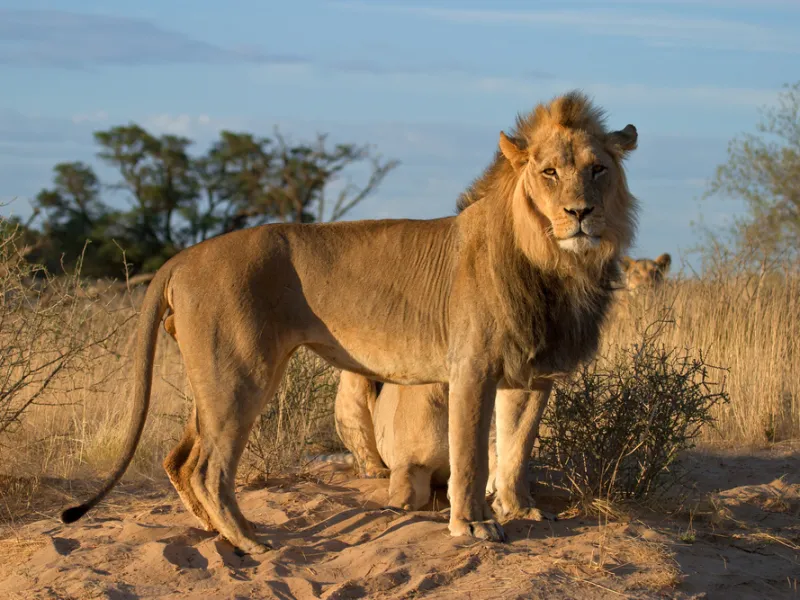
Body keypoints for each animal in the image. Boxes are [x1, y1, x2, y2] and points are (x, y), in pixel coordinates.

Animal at [61, 91, 639, 554]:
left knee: (178, 460)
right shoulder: (472, 367)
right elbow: (473, 457)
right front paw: (473, 526)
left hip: (213, 381)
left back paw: (215, 534)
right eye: (548, 172)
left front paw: (520, 512)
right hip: (239, 375)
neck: (556, 262)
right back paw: (249, 539)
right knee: (207, 468)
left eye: (598, 169)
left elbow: (517, 448)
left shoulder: (532, 373)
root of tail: (183, 256)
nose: (580, 212)